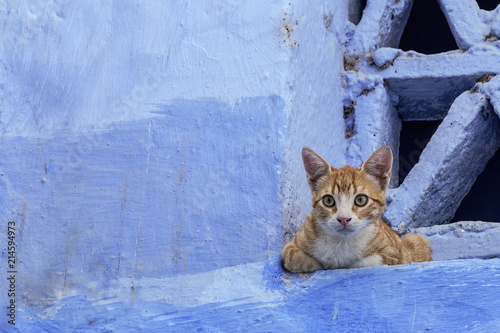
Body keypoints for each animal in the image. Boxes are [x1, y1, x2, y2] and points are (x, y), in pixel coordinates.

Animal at [284, 145, 432, 272]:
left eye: (361, 200)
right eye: (328, 200)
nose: (343, 219)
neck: (341, 243)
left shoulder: (394, 253)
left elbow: (364, 262)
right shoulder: (291, 244)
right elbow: (293, 257)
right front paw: (318, 264)